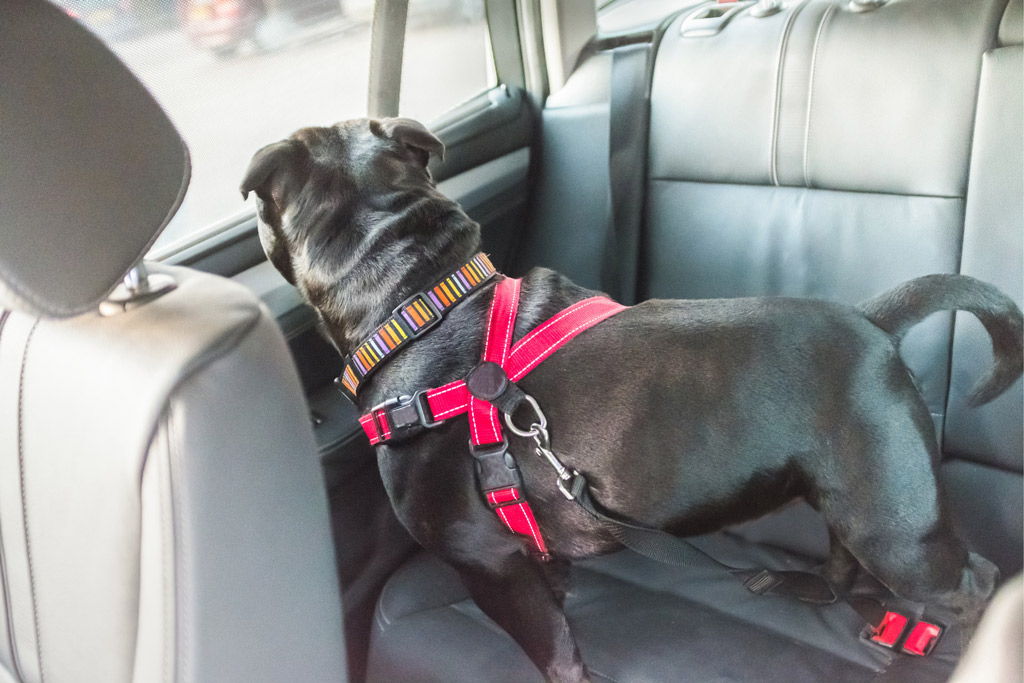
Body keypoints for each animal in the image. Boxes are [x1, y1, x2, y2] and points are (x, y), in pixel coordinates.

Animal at [243, 118, 1019, 683]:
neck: (419, 303)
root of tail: (874, 321)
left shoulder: (485, 560)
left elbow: (553, 648)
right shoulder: (525, 551)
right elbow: (555, 597)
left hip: (896, 524)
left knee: (974, 578)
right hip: (847, 492)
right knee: (842, 555)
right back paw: (803, 586)